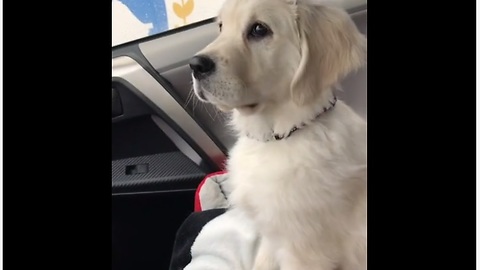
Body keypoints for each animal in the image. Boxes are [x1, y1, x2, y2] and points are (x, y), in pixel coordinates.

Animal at [189, 0, 366, 268]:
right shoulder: (270, 235)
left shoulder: (306, 251)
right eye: (221, 26)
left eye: (259, 30)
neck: (277, 137)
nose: (195, 65)